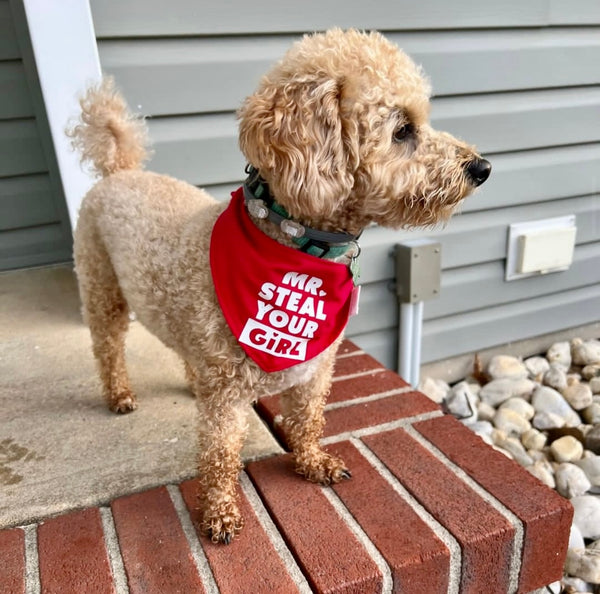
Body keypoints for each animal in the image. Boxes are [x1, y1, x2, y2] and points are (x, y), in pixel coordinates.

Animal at [70, 30, 492, 544]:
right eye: (402, 131)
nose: (482, 168)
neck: (299, 247)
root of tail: (120, 170)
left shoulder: (314, 369)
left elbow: (308, 420)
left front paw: (311, 463)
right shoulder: (227, 398)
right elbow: (220, 454)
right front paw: (220, 512)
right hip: (101, 286)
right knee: (108, 347)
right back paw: (119, 395)